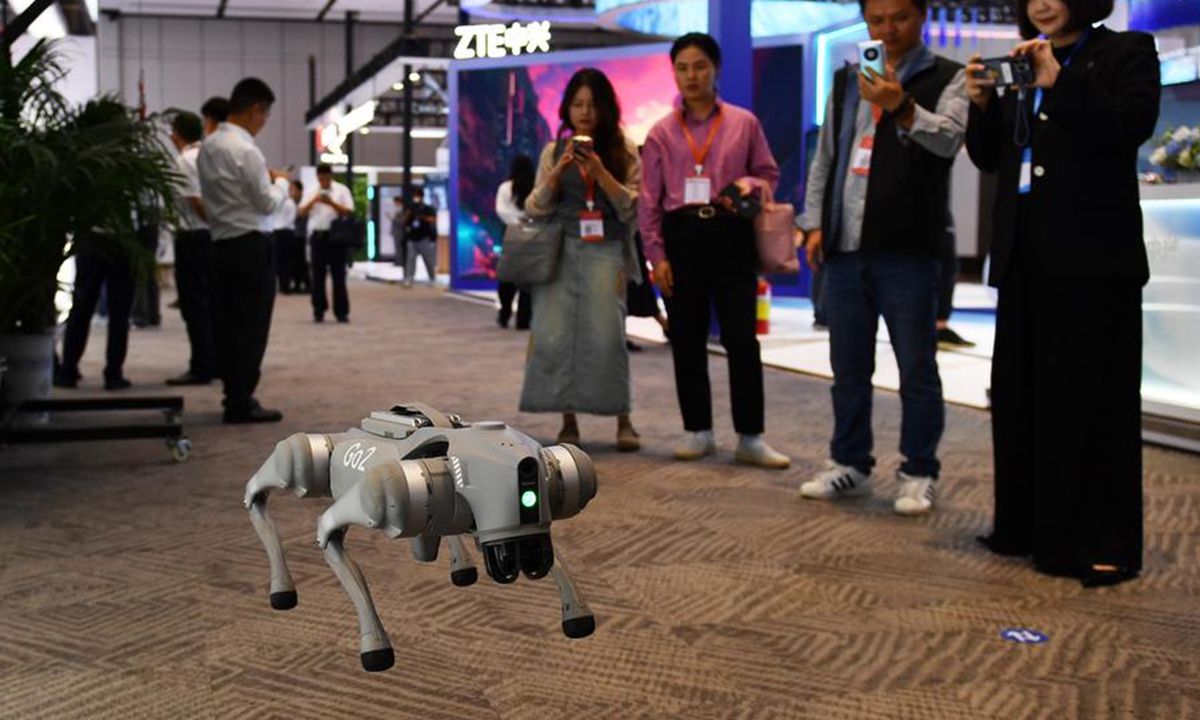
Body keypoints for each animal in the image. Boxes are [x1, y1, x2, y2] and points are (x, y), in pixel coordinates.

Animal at [244, 403, 600, 672]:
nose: (523, 565)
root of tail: (351, 433)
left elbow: (557, 560)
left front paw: (578, 616)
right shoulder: (378, 496)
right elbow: (326, 529)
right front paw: (375, 648)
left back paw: (460, 566)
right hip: (306, 464)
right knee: (276, 473)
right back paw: (279, 584)